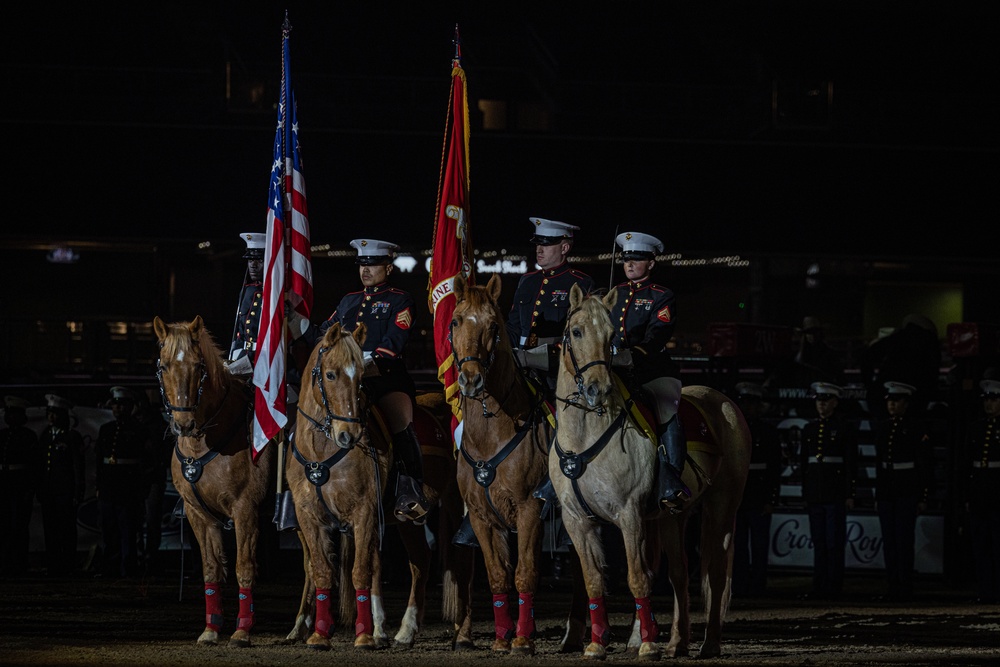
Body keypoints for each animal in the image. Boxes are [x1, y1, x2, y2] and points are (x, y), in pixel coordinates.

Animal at [149, 316, 274, 648]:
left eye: (198, 366)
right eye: (164, 366)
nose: (183, 424)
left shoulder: (246, 510)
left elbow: (244, 567)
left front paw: (242, 630)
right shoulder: (198, 514)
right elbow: (210, 569)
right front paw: (211, 628)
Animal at [286, 324, 472, 652]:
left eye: (361, 377)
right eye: (330, 374)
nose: (349, 434)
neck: (321, 452)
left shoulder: (364, 512)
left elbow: (361, 571)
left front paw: (364, 635)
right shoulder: (309, 516)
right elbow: (321, 570)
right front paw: (319, 634)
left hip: (459, 503)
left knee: (465, 560)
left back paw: (462, 634)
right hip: (407, 518)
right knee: (421, 560)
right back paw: (407, 631)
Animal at [452, 274, 588, 656]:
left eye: (493, 326)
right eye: (455, 321)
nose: (470, 379)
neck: (492, 435)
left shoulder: (529, 510)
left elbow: (525, 573)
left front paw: (523, 639)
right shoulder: (482, 517)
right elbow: (498, 575)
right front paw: (501, 638)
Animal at [548, 284, 752, 660]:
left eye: (611, 336)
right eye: (576, 331)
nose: (598, 388)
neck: (586, 437)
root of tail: (724, 402)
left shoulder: (629, 515)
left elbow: (637, 577)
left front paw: (645, 644)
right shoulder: (577, 521)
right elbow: (593, 580)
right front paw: (596, 644)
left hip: (721, 506)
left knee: (715, 573)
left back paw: (709, 644)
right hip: (674, 515)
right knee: (680, 573)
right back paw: (677, 642)